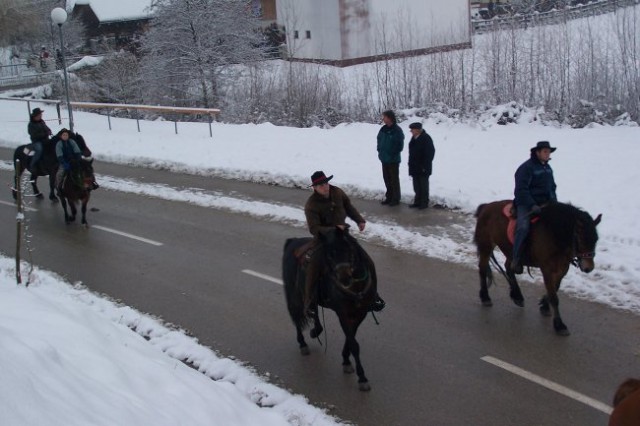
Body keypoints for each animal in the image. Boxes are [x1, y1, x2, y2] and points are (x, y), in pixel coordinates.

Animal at [282, 228, 378, 392]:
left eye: (348, 249)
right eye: (329, 255)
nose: (344, 278)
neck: (355, 288)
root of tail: (292, 241)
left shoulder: (360, 313)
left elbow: (350, 338)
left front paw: (346, 361)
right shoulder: (343, 313)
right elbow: (354, 343)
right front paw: (362, 378)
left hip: (311, 295)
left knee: (313, 311)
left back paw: (315, 331)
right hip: (294, 295)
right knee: (297, 317)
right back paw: (303, 343)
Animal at [472, 200, 604, 336]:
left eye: (596, 240)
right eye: (580, 239)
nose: (589, 267)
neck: (554, 233)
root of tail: (485, 206)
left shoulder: (562, 268)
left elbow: (555, 288)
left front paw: (544, 305)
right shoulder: (546, 269)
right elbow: (554, 297)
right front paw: (559, 325)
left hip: (509, 251)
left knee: (509, 267)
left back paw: (517, 296)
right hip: (486, 246)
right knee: (483, 269)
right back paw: (485, 297)